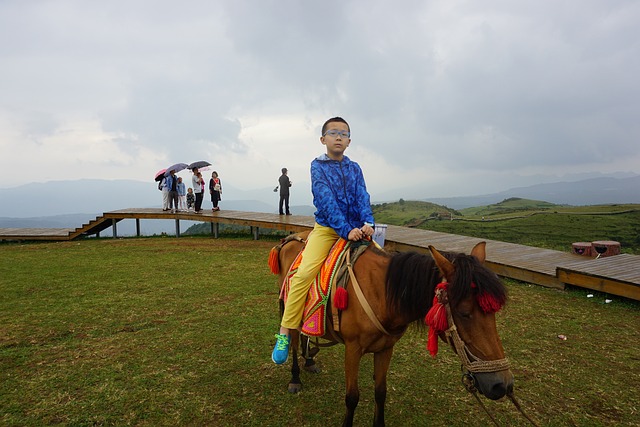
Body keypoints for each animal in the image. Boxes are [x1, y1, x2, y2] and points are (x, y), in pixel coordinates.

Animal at [270, 234, 516, 427]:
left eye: (493, 312)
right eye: (464, 312)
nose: (501, 384)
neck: (381, 293)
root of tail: (289, 240)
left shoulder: (386, 348)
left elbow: (381, 392)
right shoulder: (352, 349)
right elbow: (352, 397)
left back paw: (310, 360)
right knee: (293, 340)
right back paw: (295, 378)